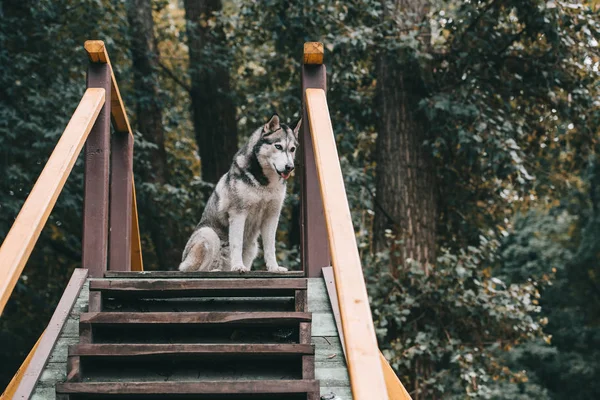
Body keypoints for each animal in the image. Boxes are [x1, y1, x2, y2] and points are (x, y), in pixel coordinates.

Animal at [178, 114, 300, 274]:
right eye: (278, 146)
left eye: (292, 149)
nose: (290, 167)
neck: (265, 183)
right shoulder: (238, 214)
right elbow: (236, 244)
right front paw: (237, 266)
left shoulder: (272, 216)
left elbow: (270, 248)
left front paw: (274, 268)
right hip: (208, 235)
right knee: (194, 269)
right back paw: (215, 270)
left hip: (253, 246)